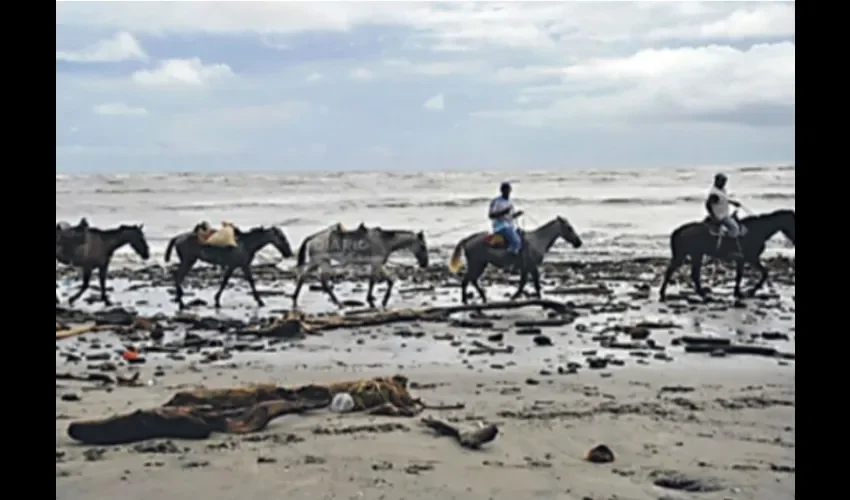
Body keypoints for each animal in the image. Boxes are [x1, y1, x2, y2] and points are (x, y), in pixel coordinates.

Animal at [656, 208, 796, 300]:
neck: (758, 230)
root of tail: (679, 230)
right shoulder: (751, 258)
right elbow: (764, 273)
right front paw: (751, 292)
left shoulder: (742, 260)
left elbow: (740, 276)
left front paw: (738, 293)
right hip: (690, 255)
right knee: (680, 272)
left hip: (691, 255)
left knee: (682, 272)